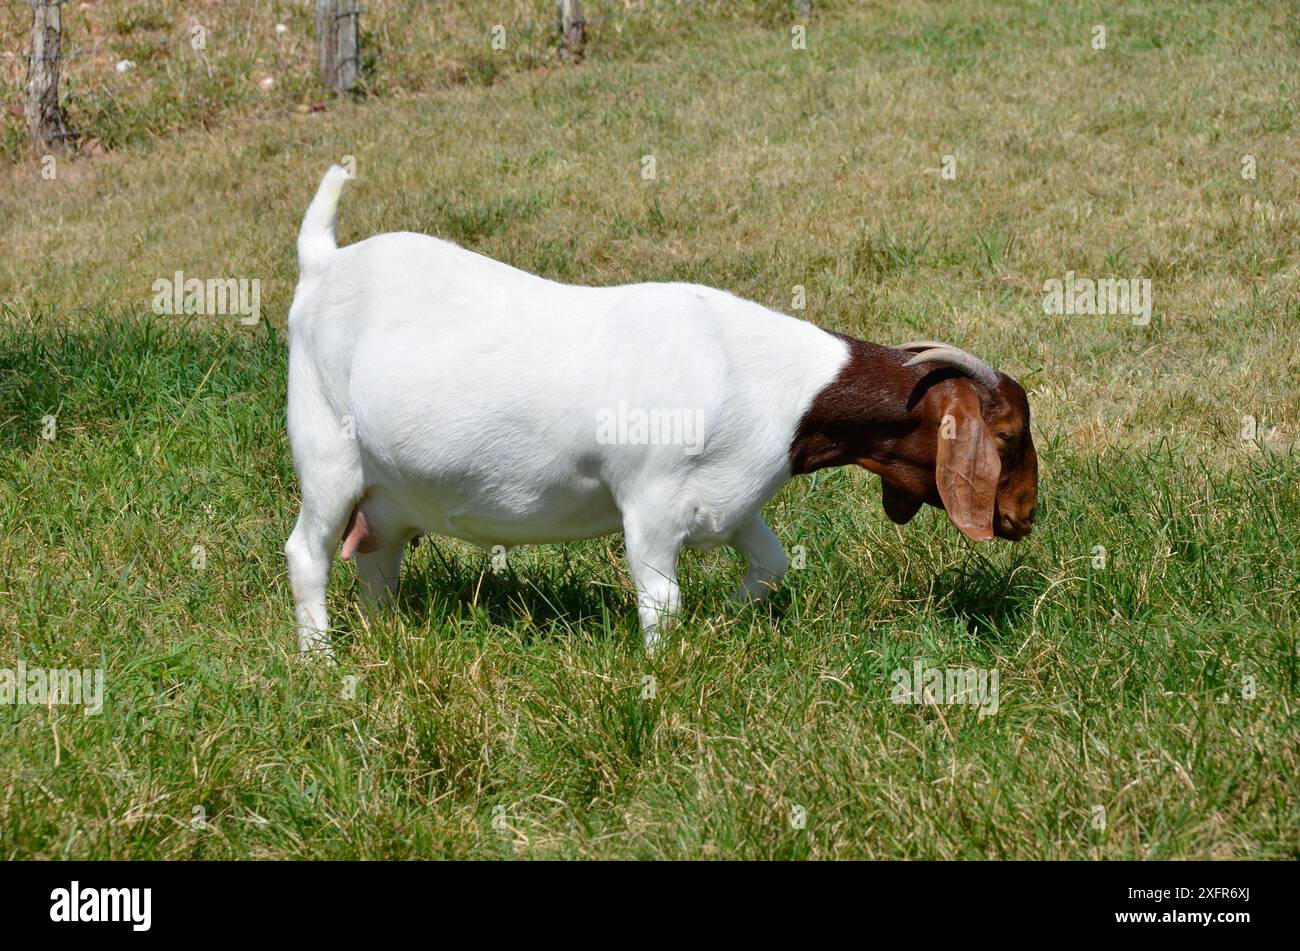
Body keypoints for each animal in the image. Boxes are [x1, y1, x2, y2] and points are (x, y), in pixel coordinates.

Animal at [284, 164, 1034, 654]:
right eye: (1006, 432)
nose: (1024, 517)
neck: (766, 378)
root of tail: (323, 261)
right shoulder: (650, 499)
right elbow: (661, 603)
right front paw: (662, 671)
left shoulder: (731, 500)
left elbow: (771, 564)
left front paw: (728, 619)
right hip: (327, 452)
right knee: (308, 552)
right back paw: (321, 659)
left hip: (392, 493)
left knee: (376, 558)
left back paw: (385, 639)